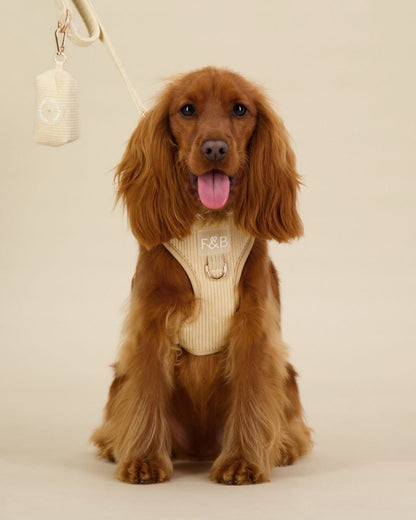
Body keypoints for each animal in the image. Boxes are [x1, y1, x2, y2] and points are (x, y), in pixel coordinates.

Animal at [91, 67, 312, 486]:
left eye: (240, 109)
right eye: (187, 110)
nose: (214, 149)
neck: (210, 230)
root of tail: (198, 448)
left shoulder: (253, 324)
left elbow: (252, 394)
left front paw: (242, 463)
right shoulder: (151, 321)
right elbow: (146, 391)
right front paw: (143, 459)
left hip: (288, 376)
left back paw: (282, 447)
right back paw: (117, 444)